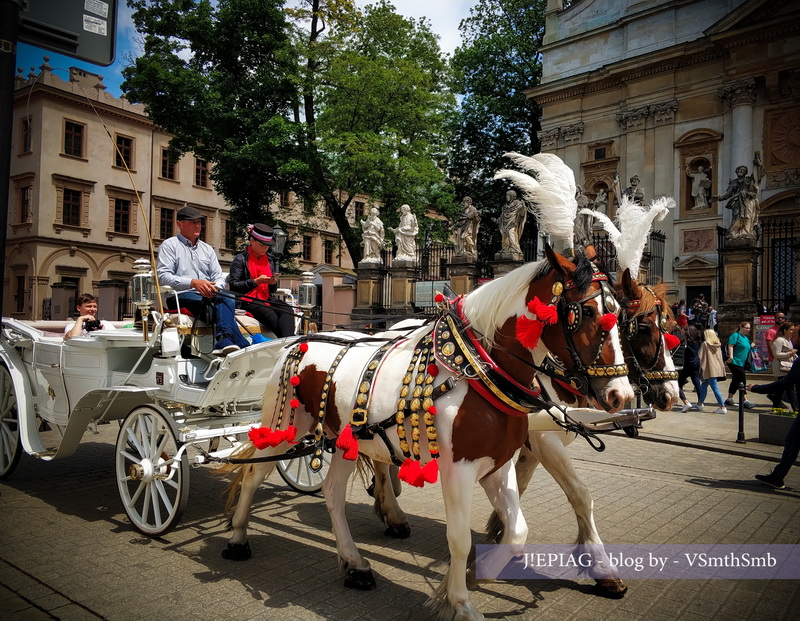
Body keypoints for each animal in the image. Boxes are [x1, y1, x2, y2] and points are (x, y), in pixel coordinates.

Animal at [222, 247, 636, 620]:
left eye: (622, 316)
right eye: (587, 313)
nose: (622, 395)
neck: (479, 370)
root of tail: (300, 339)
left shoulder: (497, 467)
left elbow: (518, 532)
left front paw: (476, 573)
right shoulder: (459, 470)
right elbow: (459, 538)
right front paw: (460, 602)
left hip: (344, 441)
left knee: (333, 493)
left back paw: (355, 564)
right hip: (285, 428)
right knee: (254, 474)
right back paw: (238, 538)